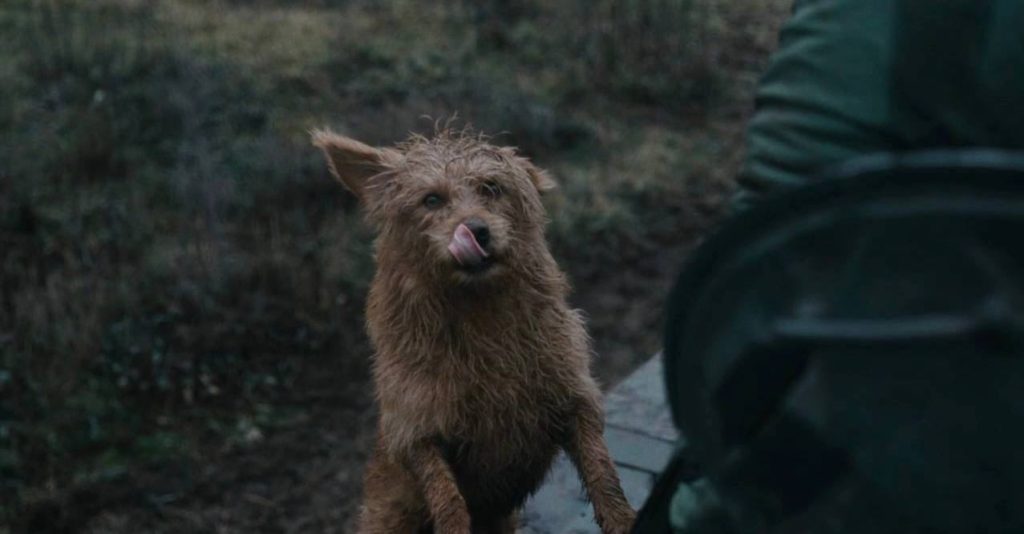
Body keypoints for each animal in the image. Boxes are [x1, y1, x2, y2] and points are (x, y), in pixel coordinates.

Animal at [313, 127, 630, 528]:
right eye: (432, 199)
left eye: (491, 188)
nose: (477, 230)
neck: (481, 317)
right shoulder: (417, 431)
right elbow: (447, 496)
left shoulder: (572, 396)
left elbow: (601, 469)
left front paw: (622, 519)